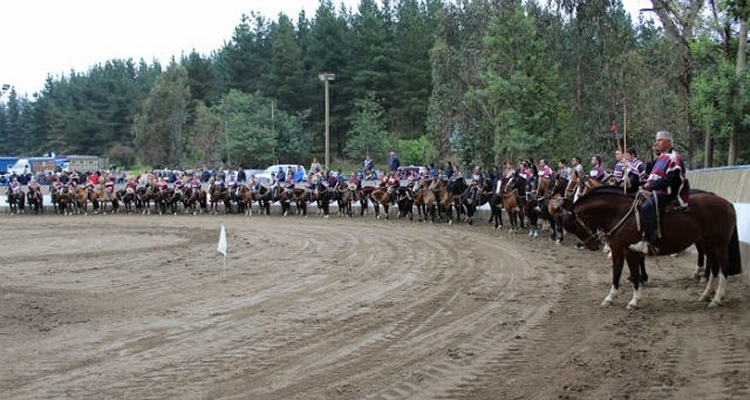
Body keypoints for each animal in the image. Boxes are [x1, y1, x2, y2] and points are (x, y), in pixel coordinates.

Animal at [560, 187, 744, 310]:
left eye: (575, 226)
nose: (593, 245)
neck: (620, 213)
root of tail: (726, 203)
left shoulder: (630, 252)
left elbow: (635, 276)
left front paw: (634, 301)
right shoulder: (618, 251)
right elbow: (616, 273)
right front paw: (610, 298)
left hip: (719, 244)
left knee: (723, 268)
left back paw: (717, 298)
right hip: (707, 243)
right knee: (713, 268)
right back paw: (706, 295)